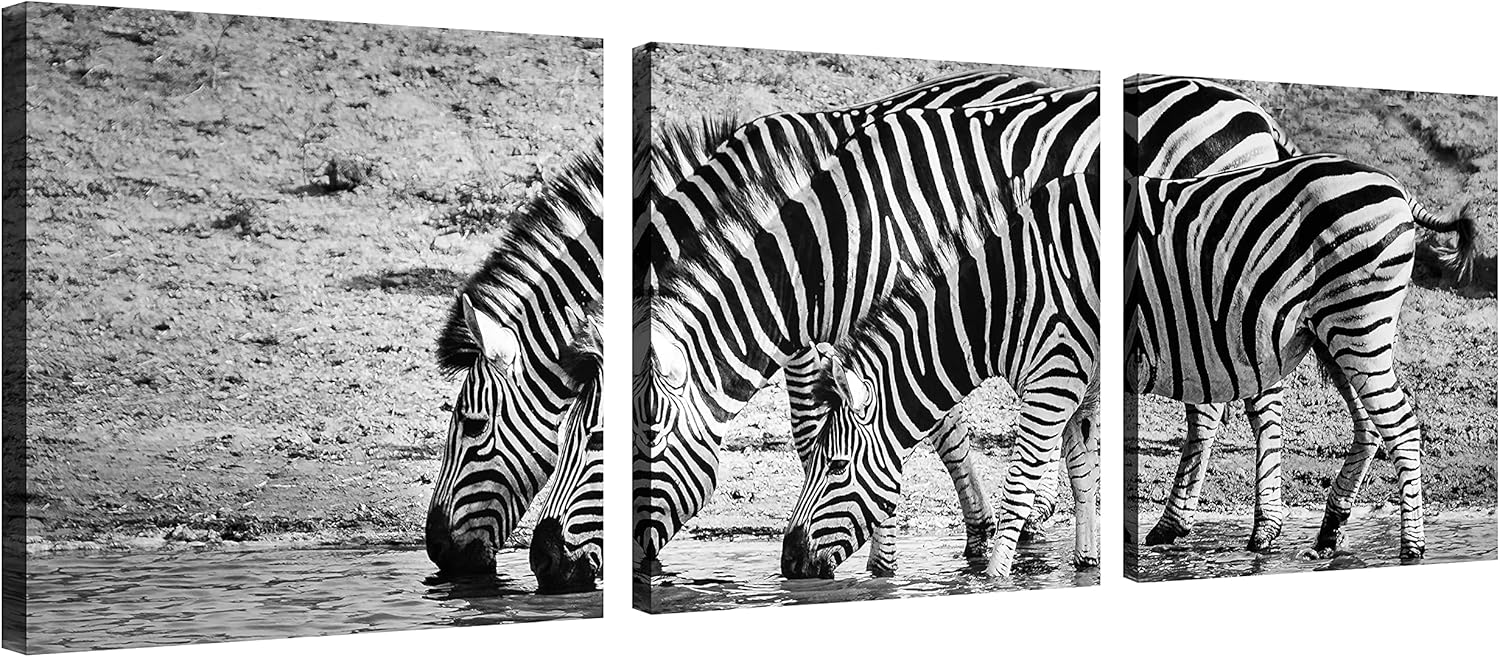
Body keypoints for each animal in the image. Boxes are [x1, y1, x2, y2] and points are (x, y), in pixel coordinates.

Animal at [782, 172, 1101, 579]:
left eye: (837, 466)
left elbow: (1018, 487)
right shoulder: (1081, 387)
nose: (788, 561)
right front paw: (1087, 563)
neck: (999, 305)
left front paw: (993, 579)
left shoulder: (1055, 380)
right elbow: (1083, 475)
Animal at [1128, 75, 1477, 552]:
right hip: (1330, 331)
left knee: (1398, 424)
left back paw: (1410, 546)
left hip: (1352, 324)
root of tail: (1396, 185)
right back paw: (1328, 528)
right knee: (1368, 422)